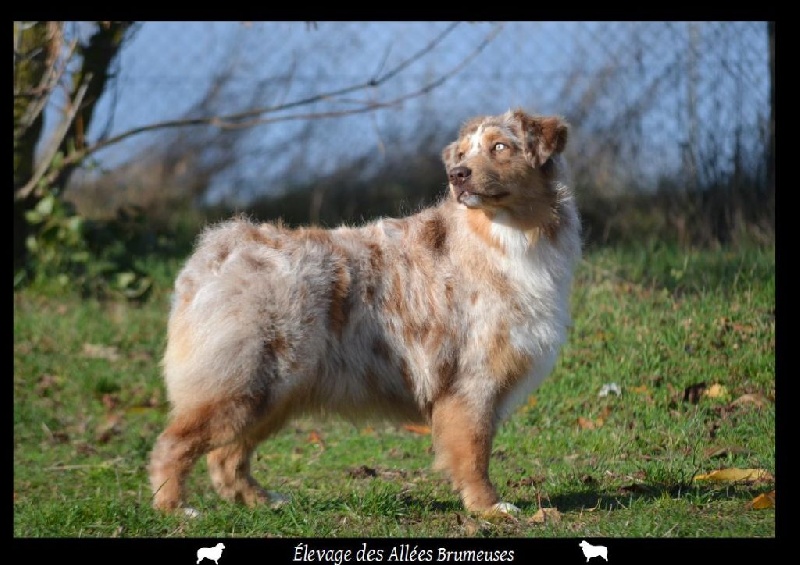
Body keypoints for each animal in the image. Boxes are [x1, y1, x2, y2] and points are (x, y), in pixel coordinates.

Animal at [147, 107, 580, 516]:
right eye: (462, 154)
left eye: (500, 147)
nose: (458, 175)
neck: (508, 235)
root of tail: (221, 248)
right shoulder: (471, 378)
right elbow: (474, 451)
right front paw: (489, 507)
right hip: (243, 383)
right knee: (172, 443)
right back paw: (175, 507)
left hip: (274, 393)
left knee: (226, 456)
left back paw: (262, 501)